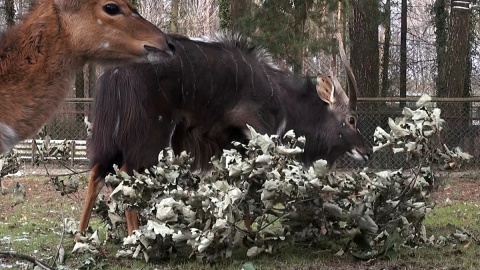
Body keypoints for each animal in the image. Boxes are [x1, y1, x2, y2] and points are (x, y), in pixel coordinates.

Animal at [79, 33, 370, 236]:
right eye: (351, 119)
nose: (365, 152)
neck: (281, 98)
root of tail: (115, 73)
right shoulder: (251, 136)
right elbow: (247, 192)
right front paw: (251, 236)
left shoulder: (228, 146)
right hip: (149, 140)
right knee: (127, 175)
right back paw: (137, 240)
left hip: (112, 142)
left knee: (96, 174)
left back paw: (81, 237)